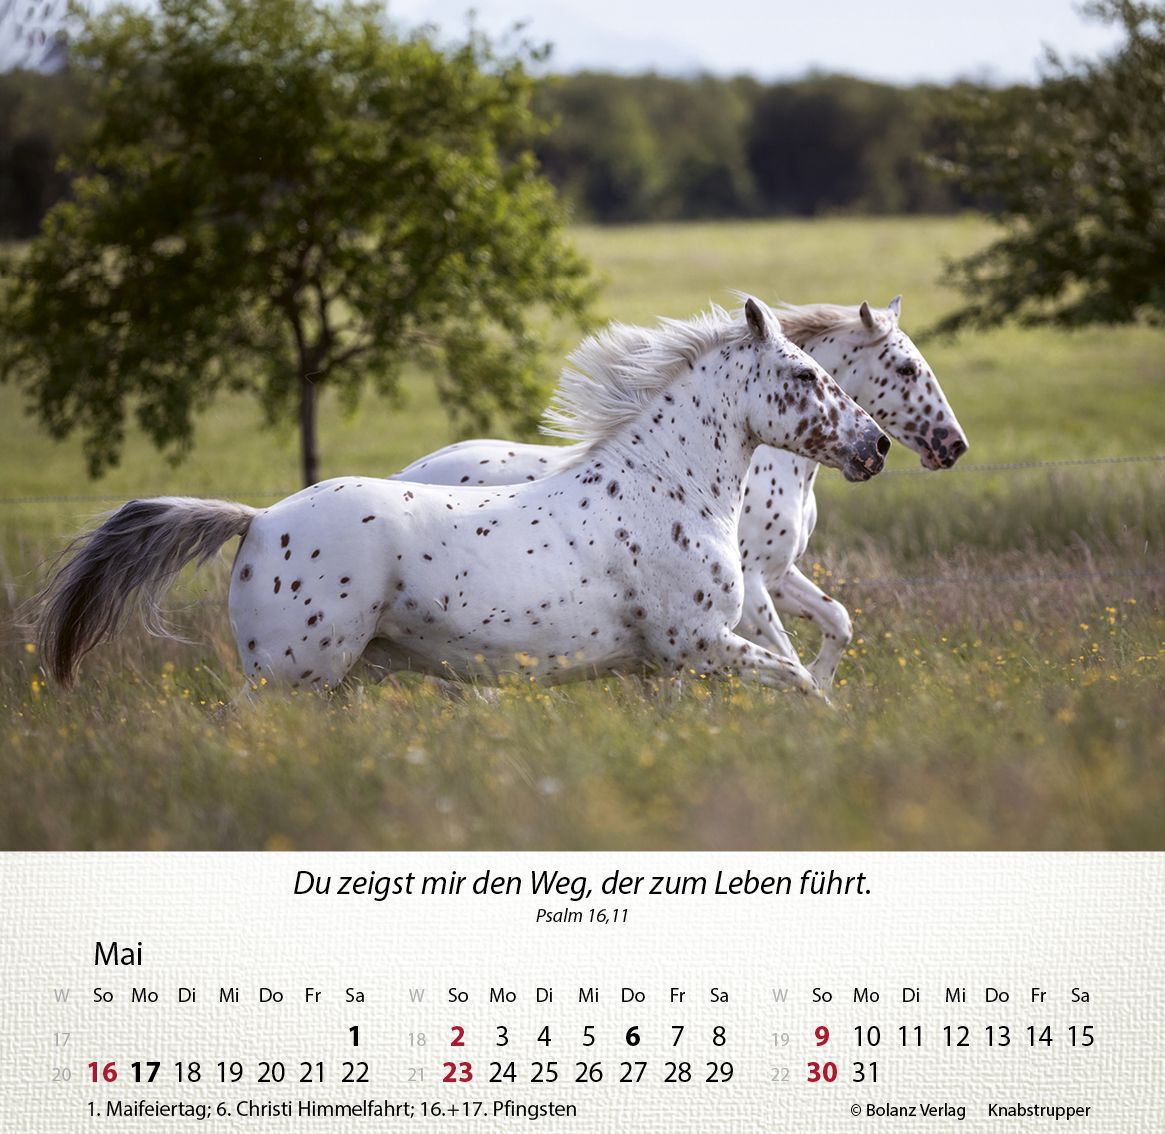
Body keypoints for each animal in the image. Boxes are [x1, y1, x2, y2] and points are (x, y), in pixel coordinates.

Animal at [35, 298, 889, 694]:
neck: (664, 490)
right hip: (289, 676)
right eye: (804, 375)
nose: (875, 444)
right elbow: (798, 681)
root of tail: (258, 520)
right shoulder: (700, 643)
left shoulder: (666, 665)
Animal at [393, 297, 968, 689]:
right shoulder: (755, 584)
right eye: (906, 368)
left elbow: (837, 622)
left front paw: (824, 685)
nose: (952, 445)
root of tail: (405, 474)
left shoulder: (779, 574)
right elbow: (784, 651)